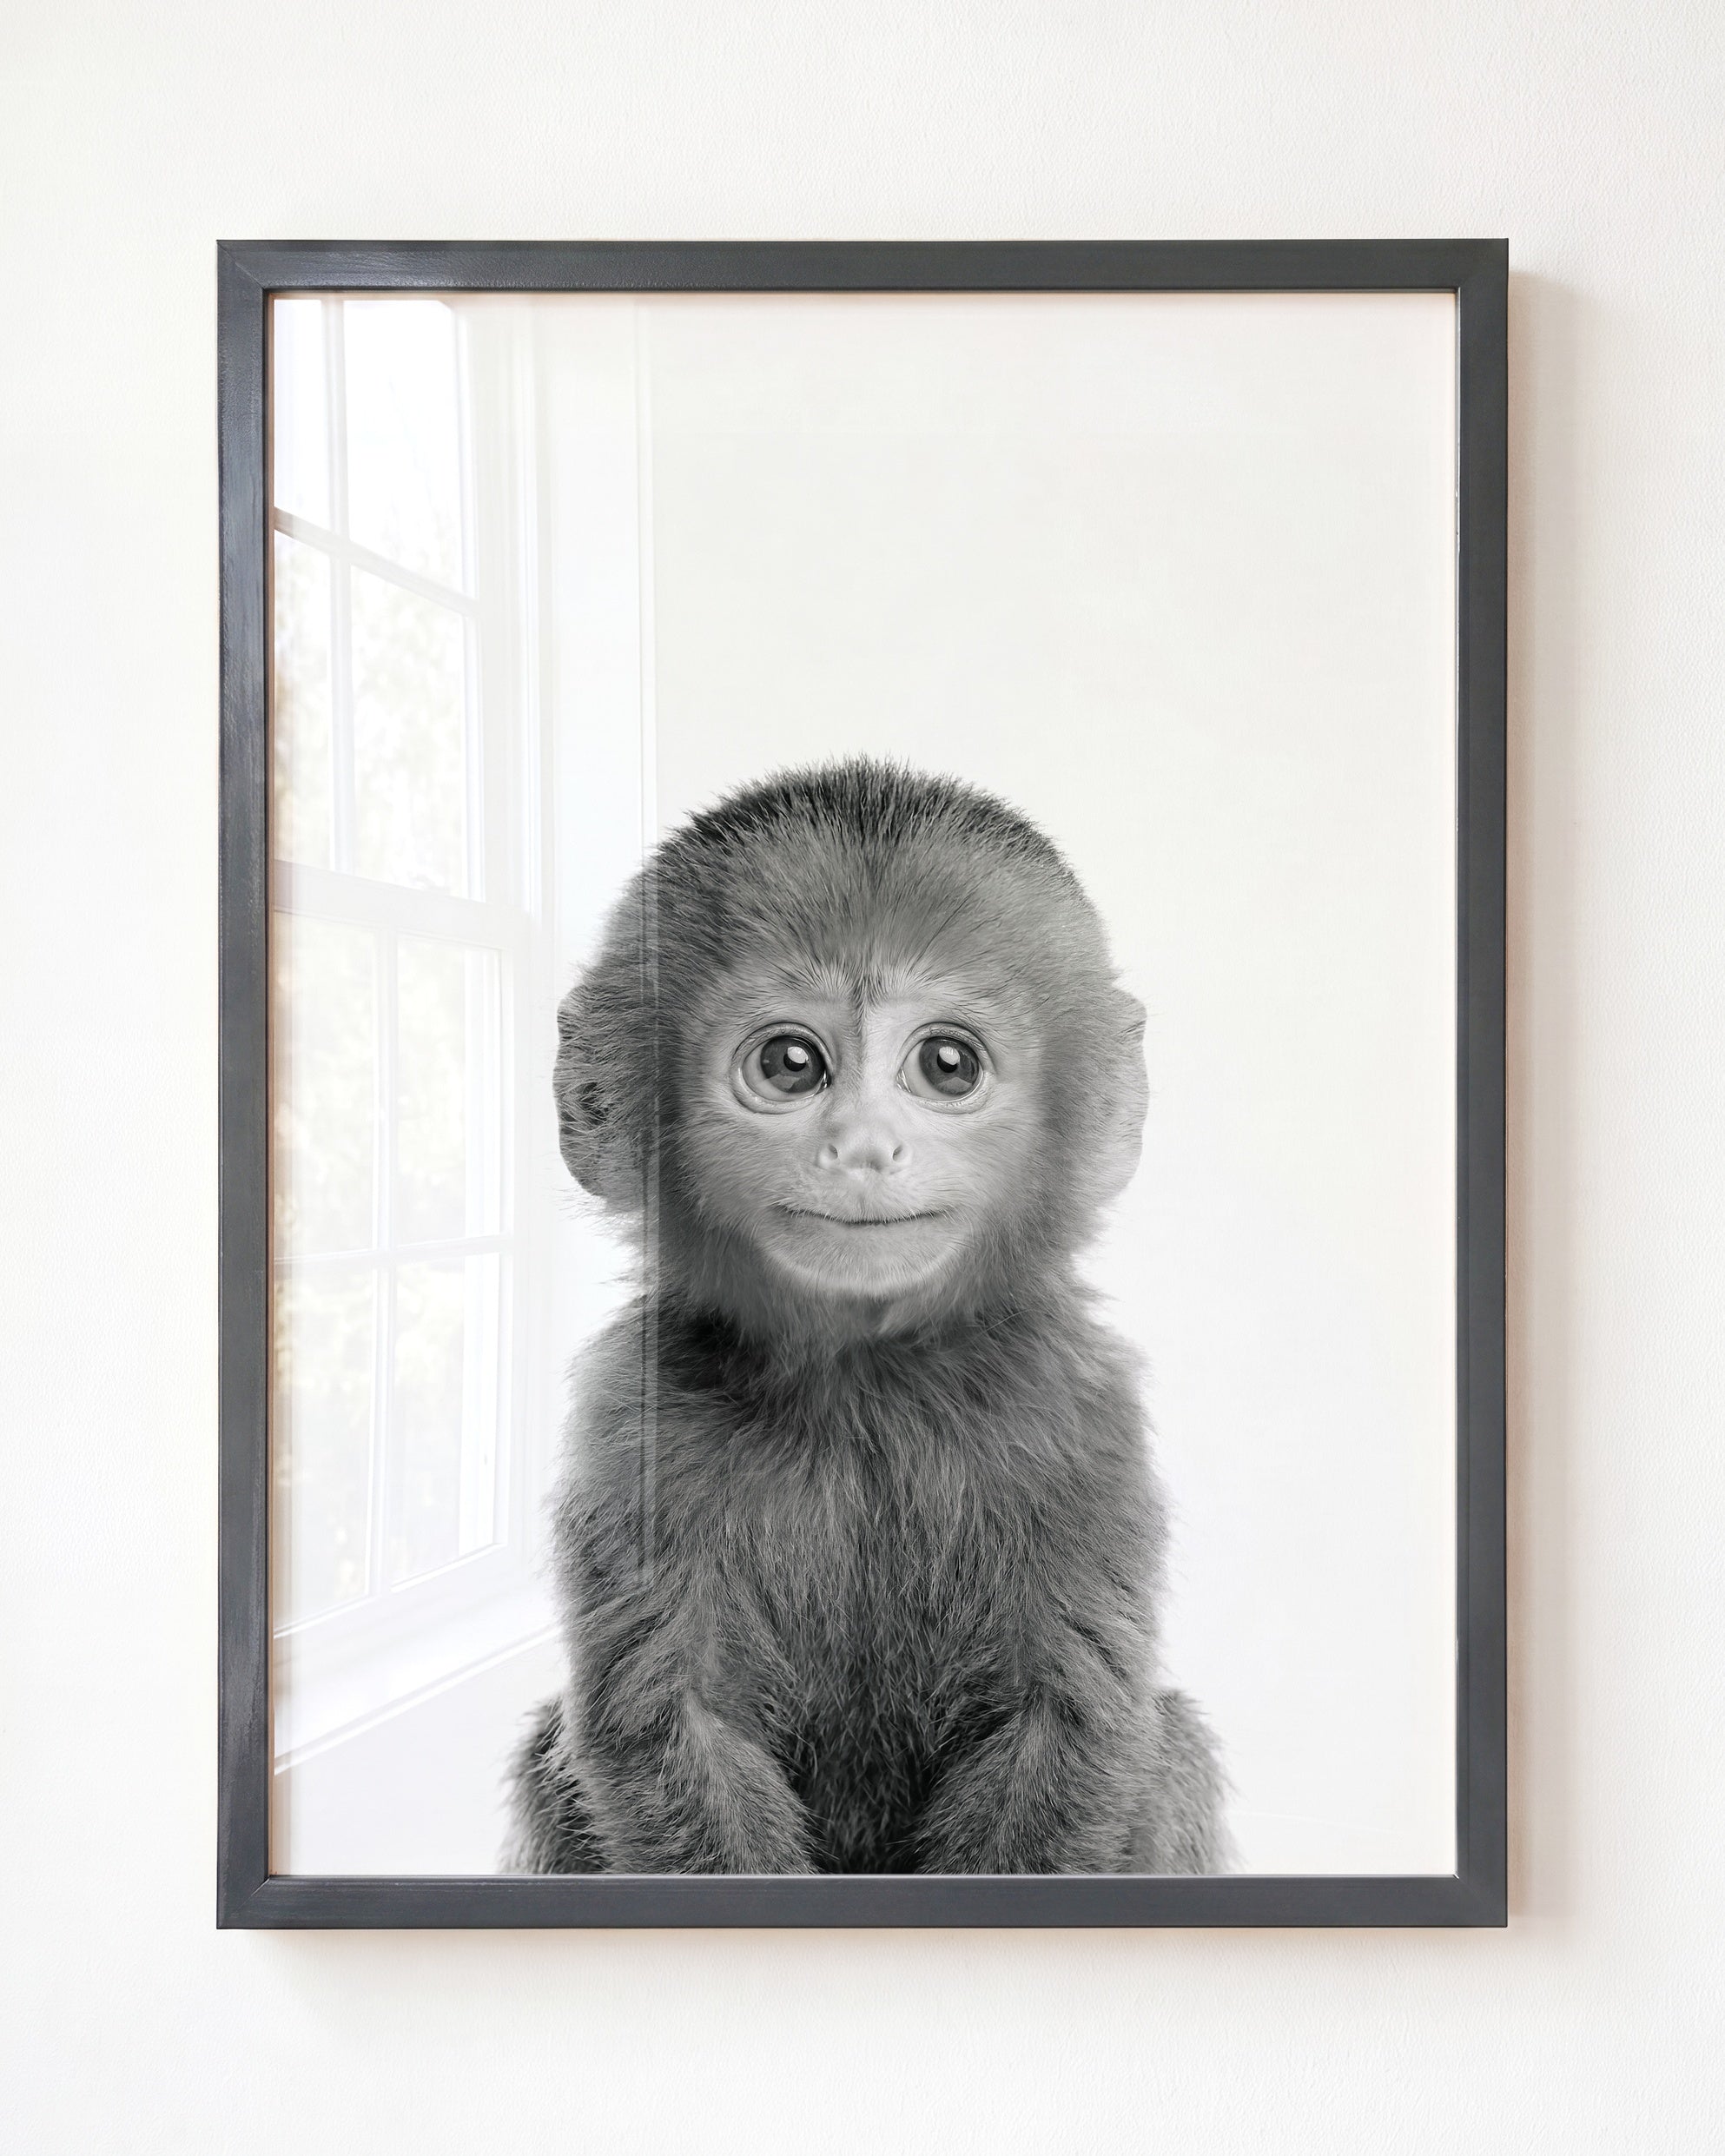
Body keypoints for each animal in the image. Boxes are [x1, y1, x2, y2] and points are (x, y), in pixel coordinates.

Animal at [503, 759, 1228, 1875]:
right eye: (791, 1064)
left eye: (947, 1065)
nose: (863, 1147)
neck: (865, 1383)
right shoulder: (633, 1414)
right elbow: (673, 1726)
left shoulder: (1081, 1409)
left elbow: (1064, 1724)